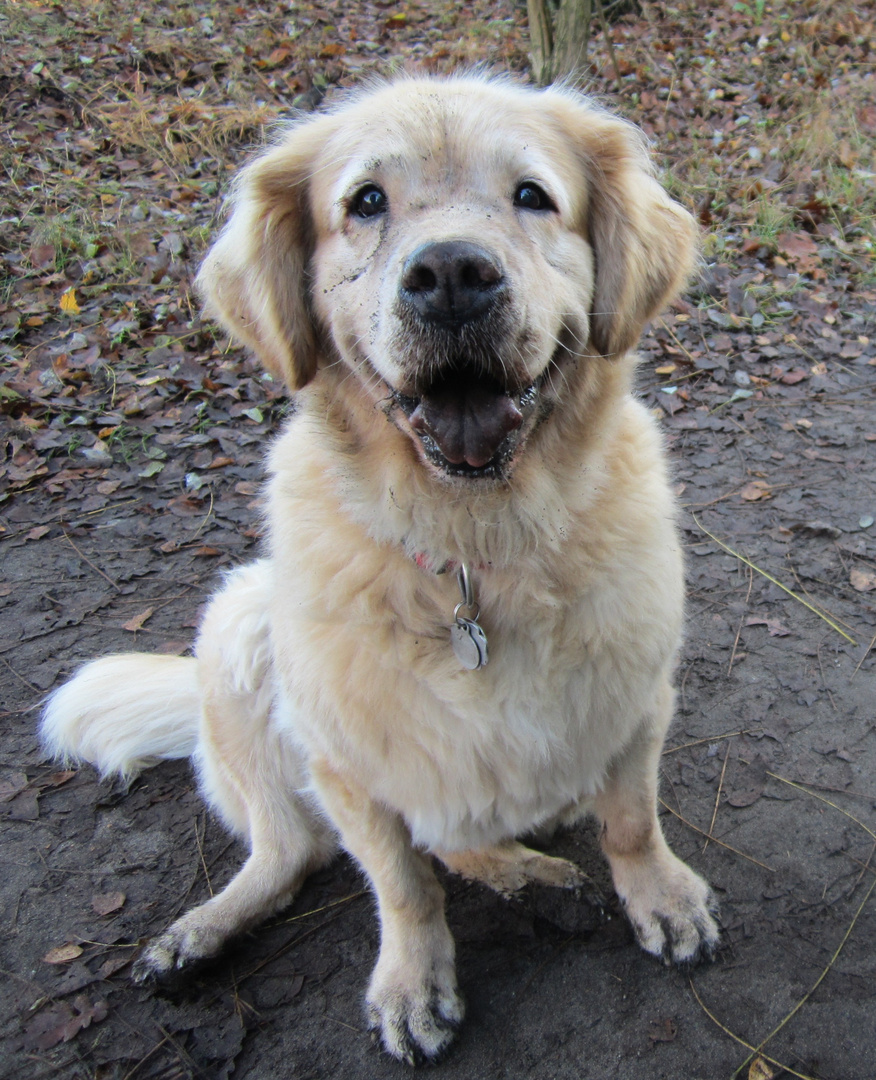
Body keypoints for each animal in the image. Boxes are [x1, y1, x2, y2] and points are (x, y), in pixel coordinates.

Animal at [42, 73, 721, 1062]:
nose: (452, 277)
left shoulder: (636, 702)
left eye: (532, 195)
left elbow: (631, 820)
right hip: (240, 627)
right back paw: (203, 932)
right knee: (299, 852)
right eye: (366, 202)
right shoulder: (347, 764)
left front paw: (661, 897)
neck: (476, 551)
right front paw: (411, 982)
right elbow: (402, 882)